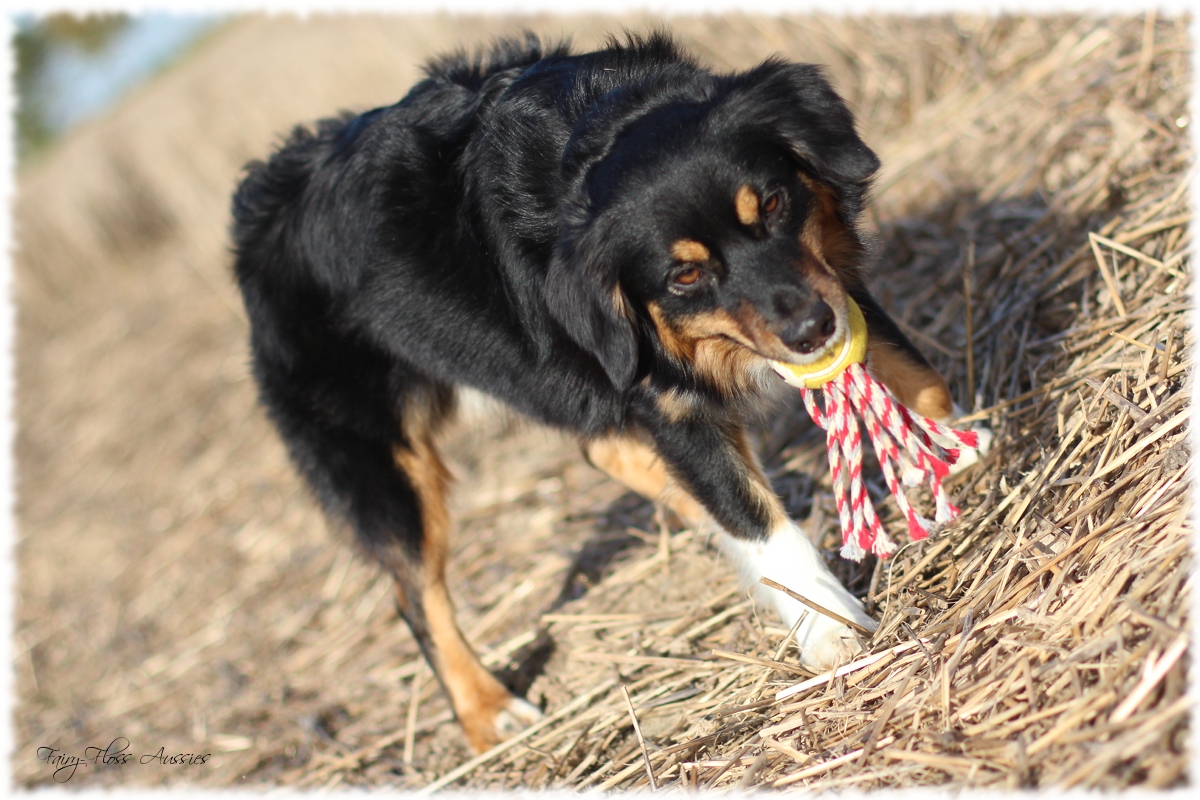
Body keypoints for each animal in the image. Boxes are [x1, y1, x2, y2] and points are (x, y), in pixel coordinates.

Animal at [231, 32, 964, 758]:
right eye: (685, 275)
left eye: (775, 205)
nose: (813, 331)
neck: (597, 130)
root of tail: (259, 198)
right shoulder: (664, 397)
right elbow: (760, 524)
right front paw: (831, 627)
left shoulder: (834, 284)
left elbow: (922, 380)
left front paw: (964, 452)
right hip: (384, 462)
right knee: (417, 596)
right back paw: (487, 711)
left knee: (608, 455)